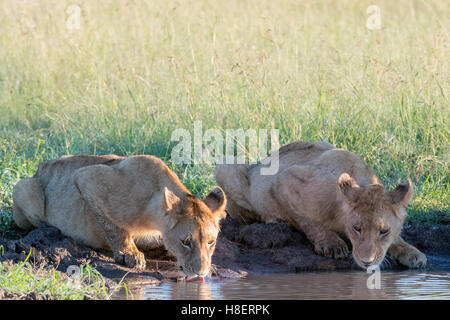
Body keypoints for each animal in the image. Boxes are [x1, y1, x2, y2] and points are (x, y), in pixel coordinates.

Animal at [12, 154, 227, 276]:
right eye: (186, 242)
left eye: (211, 242)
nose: (201, 273)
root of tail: (40, 167)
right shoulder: (86, 177)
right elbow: (114, 227)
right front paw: (129, 254)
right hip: (24, 187)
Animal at [216, 141, 428, 268]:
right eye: (356, 228)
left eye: (384, 231)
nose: (367, 262)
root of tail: (261, 160)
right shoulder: (285, 180)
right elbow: (307, 220)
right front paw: (331, 244)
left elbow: (398, 239)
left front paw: (412, 253)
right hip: (227, 163)